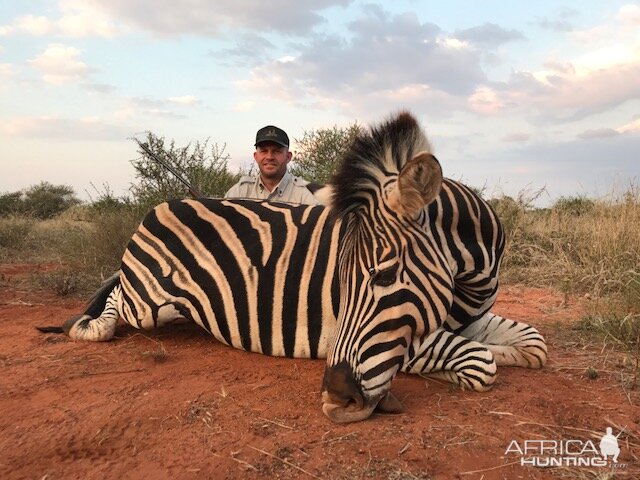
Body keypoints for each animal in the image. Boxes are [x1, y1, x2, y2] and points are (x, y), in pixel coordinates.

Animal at [42, 110, 548, 422]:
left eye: (384, 276)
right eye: (341, 283)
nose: (339, 397)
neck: (469, 284)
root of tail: (161, 205)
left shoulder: (468, 318)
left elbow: (533, 345)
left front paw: (505, 351)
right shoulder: (400, 338)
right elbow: (479, 362)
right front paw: (439, 371)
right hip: (148, 302)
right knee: (115, 298)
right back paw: (89, 326)